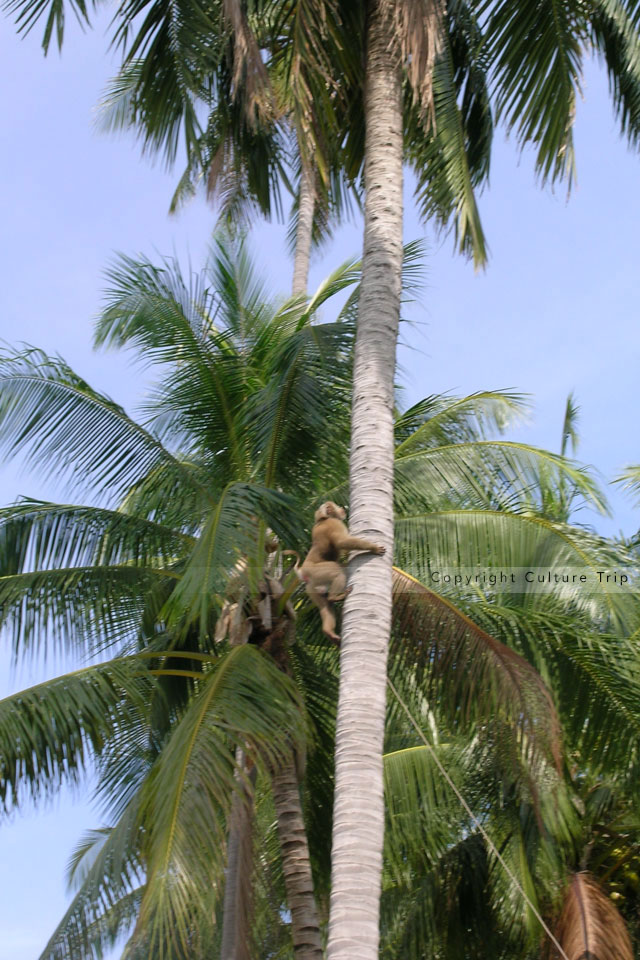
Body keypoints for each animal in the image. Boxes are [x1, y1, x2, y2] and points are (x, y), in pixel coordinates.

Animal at [286, 502, 384, 644]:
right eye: (335, 506)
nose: (342, 508)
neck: (323, 518)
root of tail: (302, 572)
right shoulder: (334, 523)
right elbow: (342, 542)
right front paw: (373, 548)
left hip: (311, 587)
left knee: (325, 605)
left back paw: (328, 631)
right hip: (316, 571)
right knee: (337, 572)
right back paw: (335, 597)